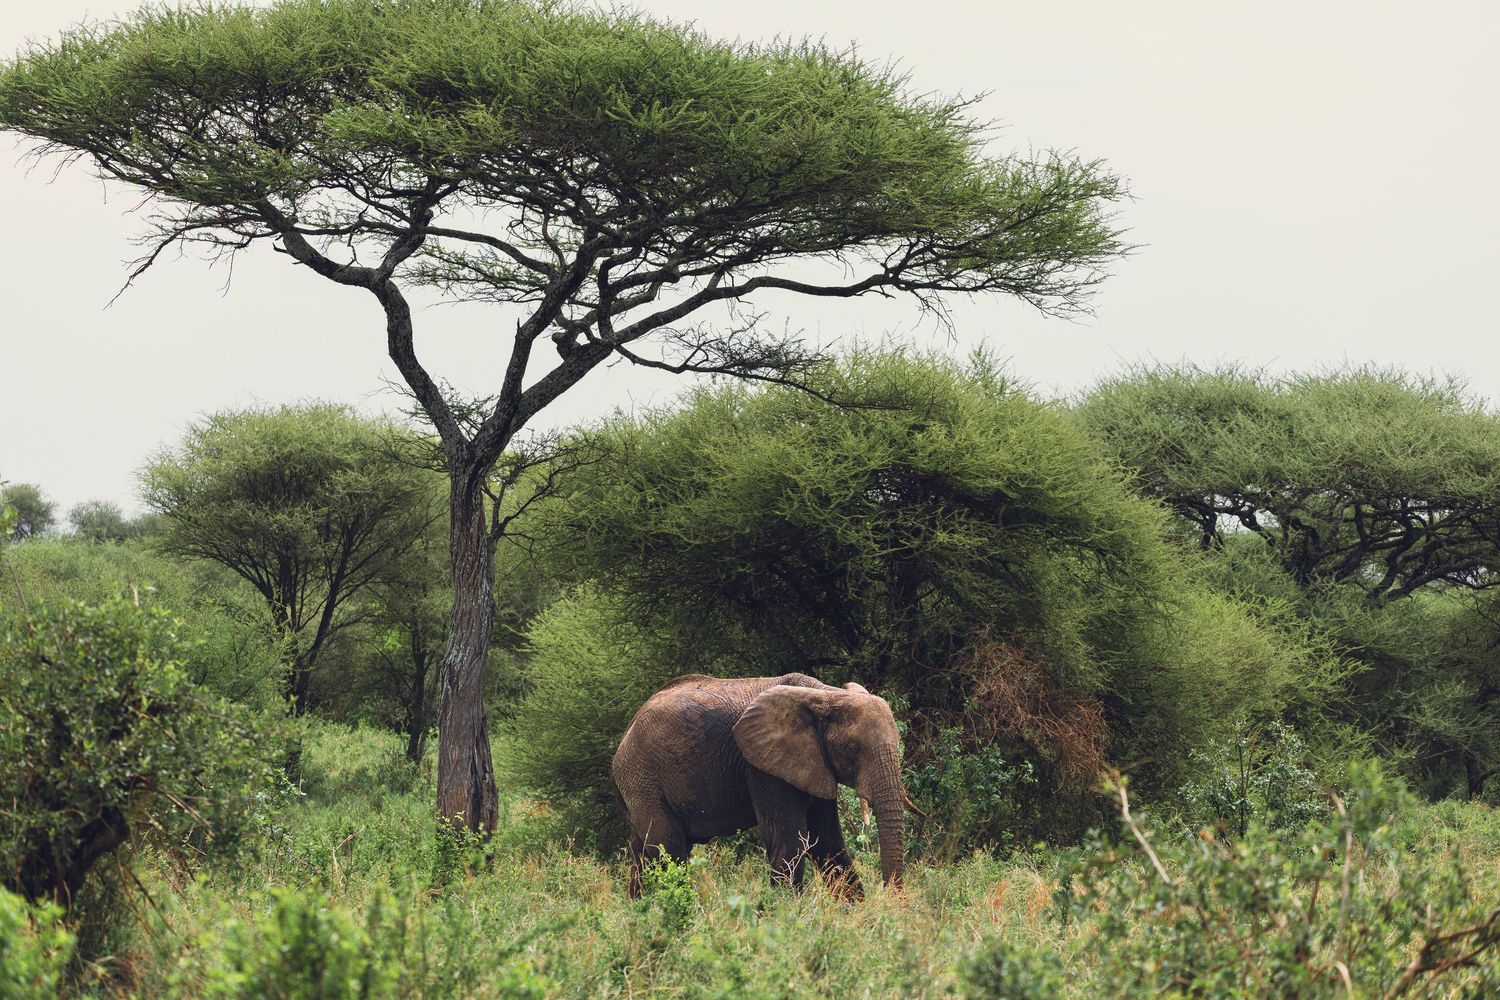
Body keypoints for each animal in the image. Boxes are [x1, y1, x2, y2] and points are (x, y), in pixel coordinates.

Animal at [610, 672, 917, 900]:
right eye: (853, 750)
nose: (892, 900)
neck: (826, 695)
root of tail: (628, 729)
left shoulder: (815, 762)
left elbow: (827, 840)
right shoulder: (763, 767)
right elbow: (791, 840)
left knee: (643, 852)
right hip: (643, 777)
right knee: (668, 851)